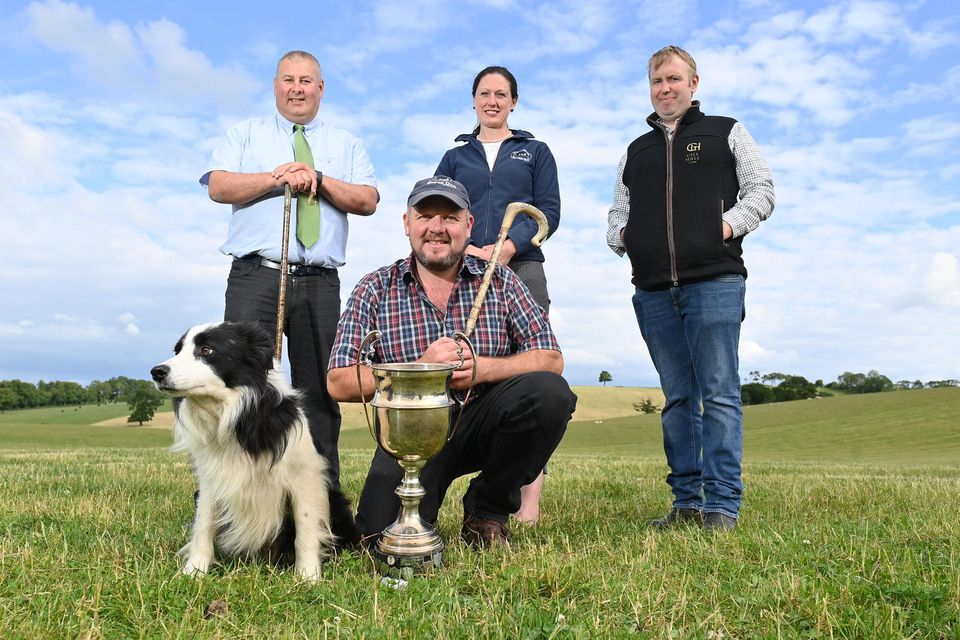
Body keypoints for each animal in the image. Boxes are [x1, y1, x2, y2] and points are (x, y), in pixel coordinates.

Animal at [150, 320, 360, 580]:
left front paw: (308, 576)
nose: (157, 372)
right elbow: (203, 523)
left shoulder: (306, 478)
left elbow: (306, 528)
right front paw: (194, 571)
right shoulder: (210, 478)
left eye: (207, 350)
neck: (230, 413)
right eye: (177, 351)